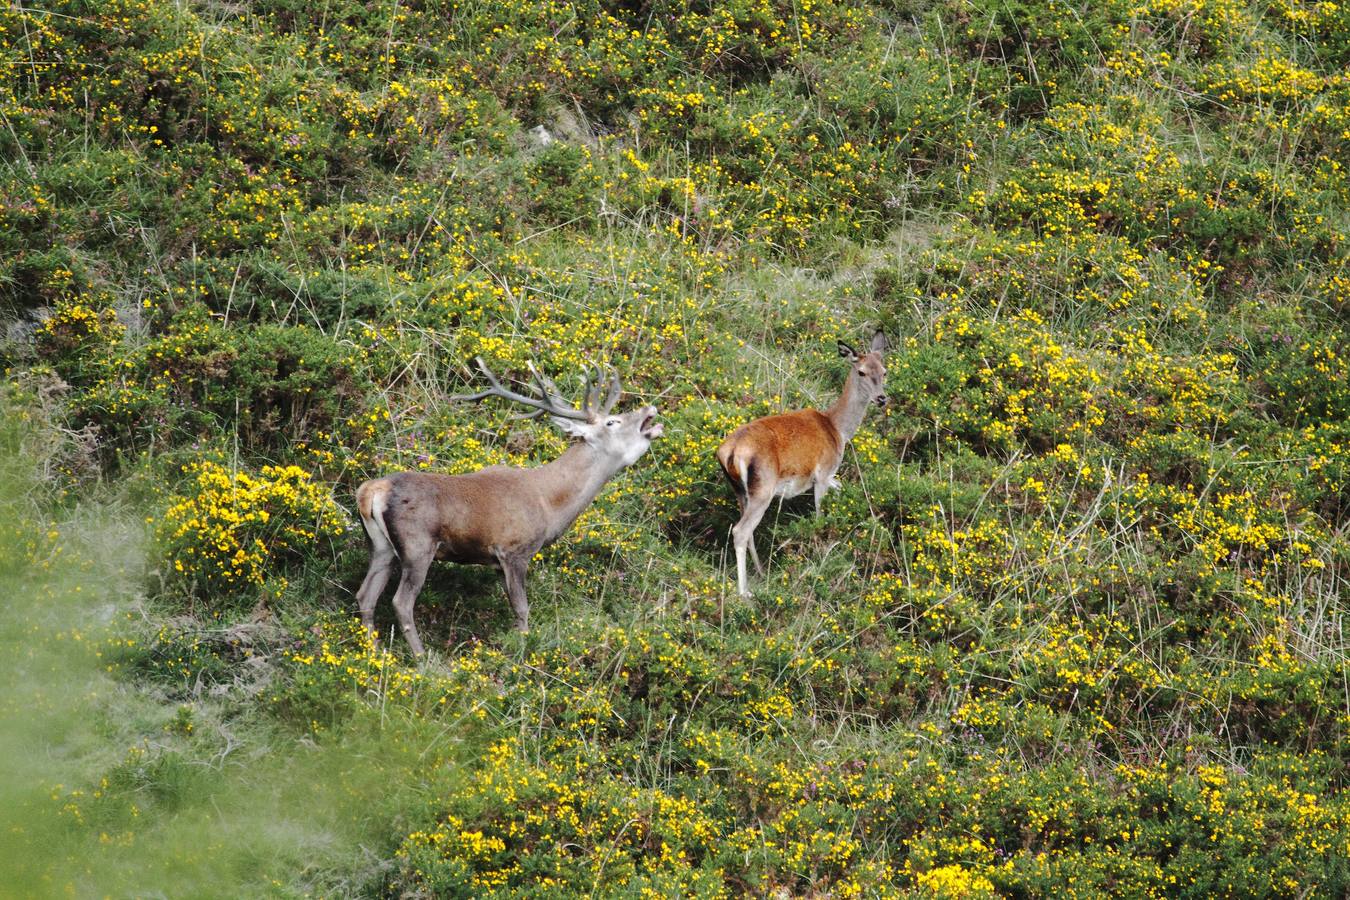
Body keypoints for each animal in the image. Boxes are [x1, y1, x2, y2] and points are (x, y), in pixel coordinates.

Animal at [351, 358, 661, 655]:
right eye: (613, 422)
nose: (651, 408)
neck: (549, 504)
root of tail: (372, 490)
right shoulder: (514, 550)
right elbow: (522, 609)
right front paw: (522, 653)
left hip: (381, 546)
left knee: (365, 595)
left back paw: (373, 653)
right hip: (418, 545)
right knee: (401, 602)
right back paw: (422, 658)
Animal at [712, 334, 891, 593]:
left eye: (884, 371)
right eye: (862, 371)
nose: (881, 398)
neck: (837, 430)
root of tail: (730, 452)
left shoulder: (826, 476)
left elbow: (842, 487)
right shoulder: (823, 472)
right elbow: (819, 515)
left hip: (740, 491)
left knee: (748, 531)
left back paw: (760, 571)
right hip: (763, 489)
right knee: (739, 531)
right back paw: (744, 591)